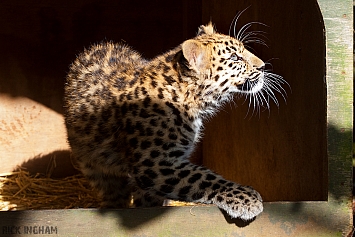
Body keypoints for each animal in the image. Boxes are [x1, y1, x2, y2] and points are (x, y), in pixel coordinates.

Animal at [64, 21, 286, 219]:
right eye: (235, 57)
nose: (263, 66)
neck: (190, 98)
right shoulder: (155, 163)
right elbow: (204, 179)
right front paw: (247, 197)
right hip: (93, 164)